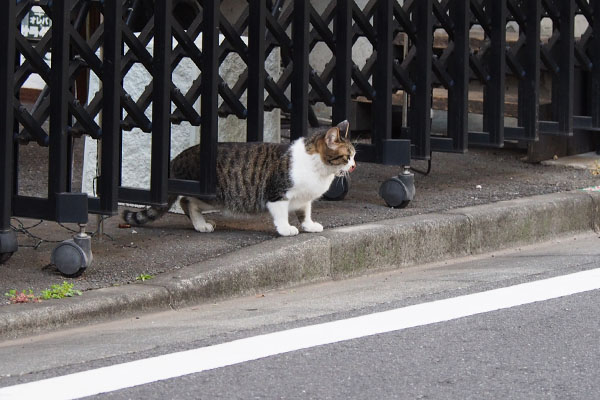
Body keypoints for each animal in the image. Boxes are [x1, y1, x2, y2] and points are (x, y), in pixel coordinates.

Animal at [123, 120, 356, 236]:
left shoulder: (304, 197)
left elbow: (305, 212)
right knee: (185, 201)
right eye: (347, 156)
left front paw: (308, 225)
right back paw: (200, 225)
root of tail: (175, 160)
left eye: (354, 155)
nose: (353, 166)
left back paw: (201, 224)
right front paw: (285, 229)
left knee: (186, 201)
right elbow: (281, 214)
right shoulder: (277, 193)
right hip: (214, 193)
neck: (319, 168)